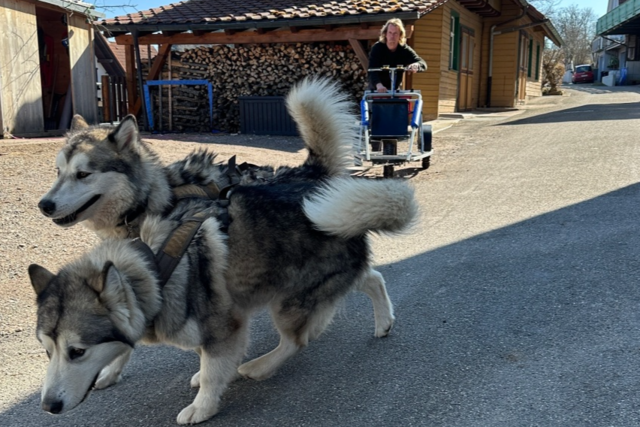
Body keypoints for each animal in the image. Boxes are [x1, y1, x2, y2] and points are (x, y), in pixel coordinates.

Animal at [28, 77, 420, 424]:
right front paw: (117, 370)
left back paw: (259, 366)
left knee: (299, 337)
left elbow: (210, 359)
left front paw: (200, 400)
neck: (150, 203)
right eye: (58, 172)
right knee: (370, 277)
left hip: (288, 296)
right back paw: (383, 321)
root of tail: (311, 175)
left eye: (83, 174)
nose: (45, 205)